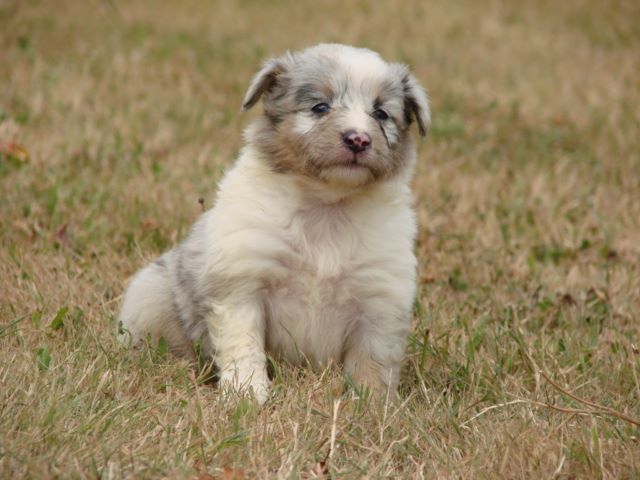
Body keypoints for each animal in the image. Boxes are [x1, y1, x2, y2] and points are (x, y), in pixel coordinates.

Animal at [118, 43, 430, 404]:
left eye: (381, 114)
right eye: (319, 107)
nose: (358, 140)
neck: (326, 204)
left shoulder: (379, 300)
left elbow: (373, 363)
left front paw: (371, 405)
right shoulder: (243, 284)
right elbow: (245, 347)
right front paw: (246, 394)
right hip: (149, 294)